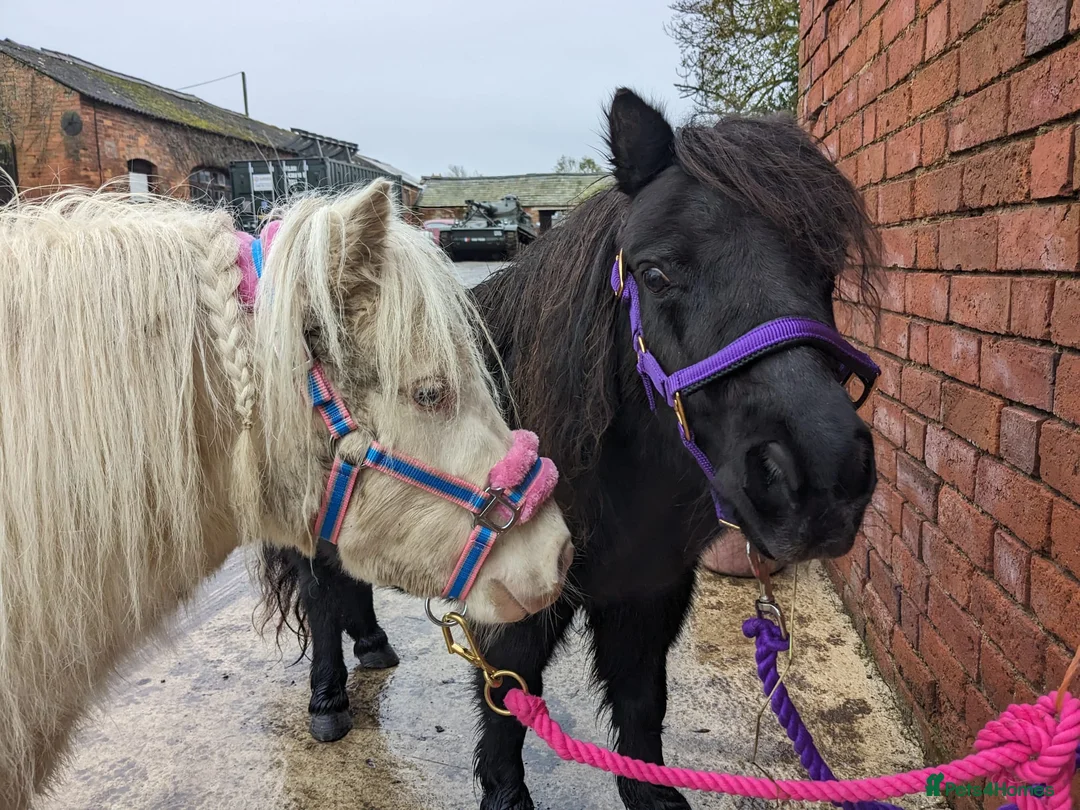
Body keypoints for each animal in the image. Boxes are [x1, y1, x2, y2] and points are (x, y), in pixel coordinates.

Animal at [257, 87, 882, 810]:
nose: (821, 479)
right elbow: (509, 701)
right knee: (321, 594)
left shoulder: (650, 591)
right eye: (655, 272)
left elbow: (642, 704)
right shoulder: (519, 596)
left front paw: (651, 793)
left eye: (826, 270)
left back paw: (375, 644)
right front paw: (505, 794)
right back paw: (329, 700)